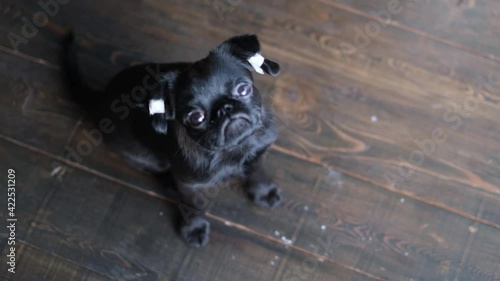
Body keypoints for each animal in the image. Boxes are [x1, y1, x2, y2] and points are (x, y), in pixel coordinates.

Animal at [67, 33, 282, 247]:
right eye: (196, 118)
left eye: (244, 89)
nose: (224, 109)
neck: (235, 147)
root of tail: (100, 98)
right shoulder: (191, 187)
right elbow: (194, 207)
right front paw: (194, 228)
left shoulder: (258, 154)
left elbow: (258, 174)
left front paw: (264, 192)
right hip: (147, 158)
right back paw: (169, 182)